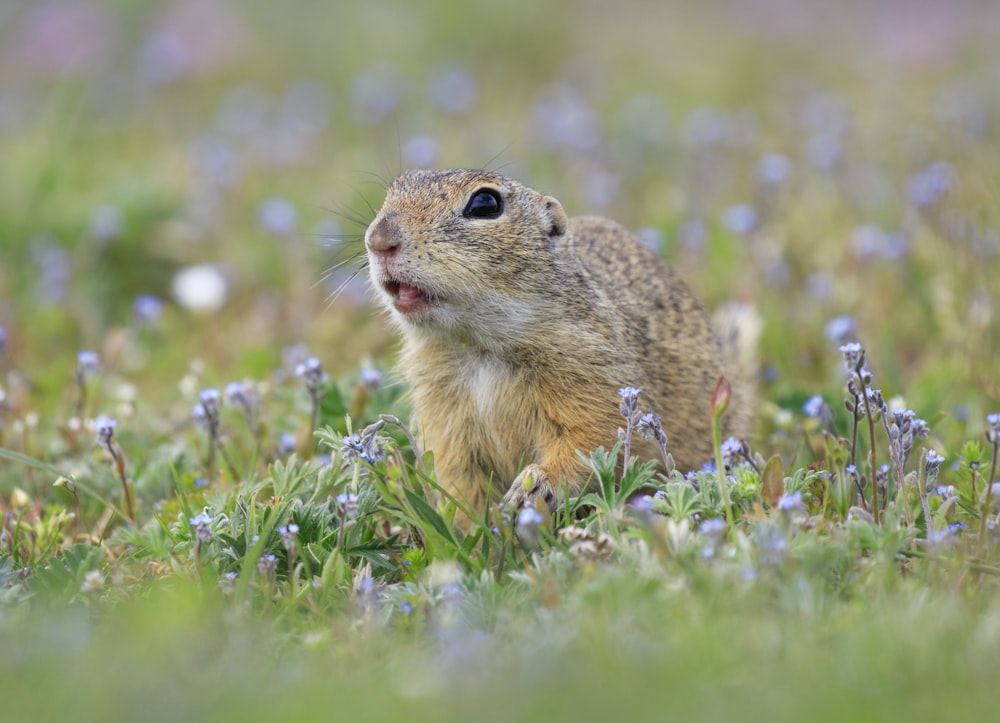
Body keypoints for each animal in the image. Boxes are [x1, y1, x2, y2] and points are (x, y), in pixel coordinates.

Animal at [364, 169, 752, 516]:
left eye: (485, 203)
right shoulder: (443, 416)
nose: (379, 239)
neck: (478, 346)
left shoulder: (592, 376)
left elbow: (590, 441)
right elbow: (458, 477)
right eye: (394, 189)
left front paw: (532, 486)